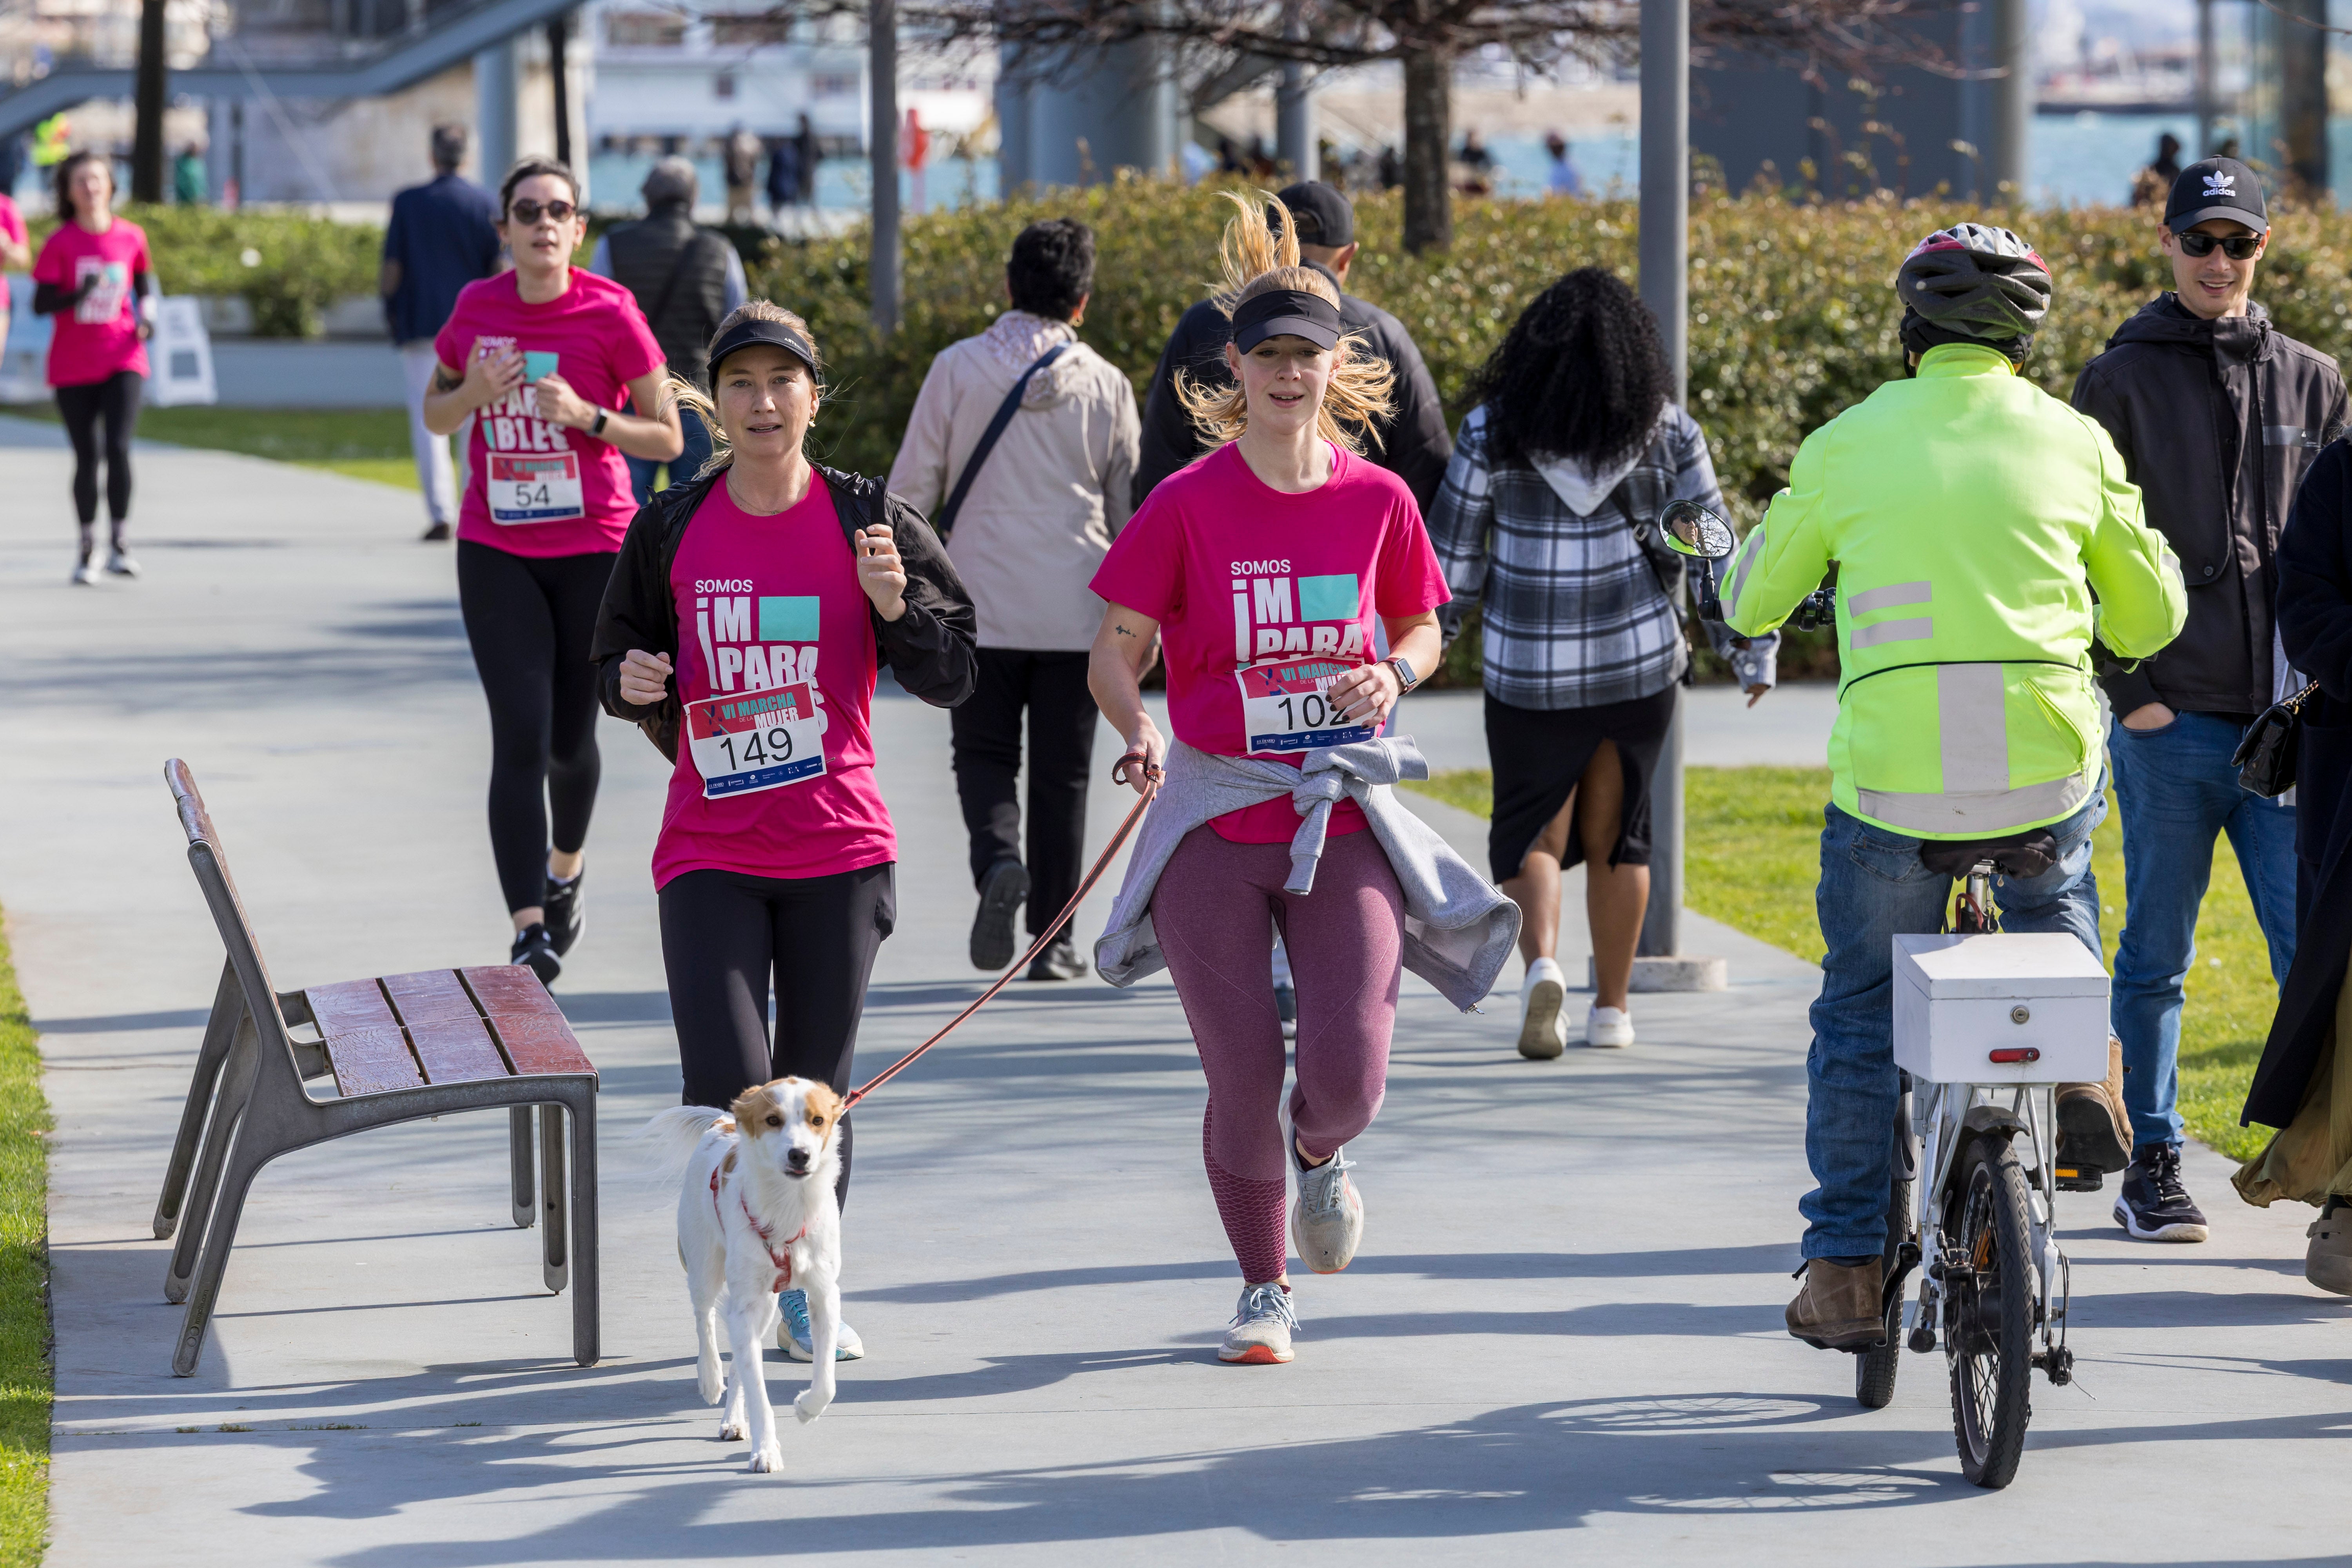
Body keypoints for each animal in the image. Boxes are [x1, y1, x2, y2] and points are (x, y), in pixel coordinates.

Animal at [649, 1081, 851, 1476]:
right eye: (773, 1120)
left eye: (818, 1120)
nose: (800, 1155)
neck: (789, 1206)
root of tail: (724, 1123)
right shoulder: (743, 1304)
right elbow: (759, 1392)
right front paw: (767, 1451)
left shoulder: (823, 1296)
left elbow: (826, 1381)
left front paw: (806, 1408)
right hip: (705, 1268)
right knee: (705, 1319)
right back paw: (710, 1379)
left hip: (766, 1303)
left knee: (741, 1357)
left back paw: (733, 1420)